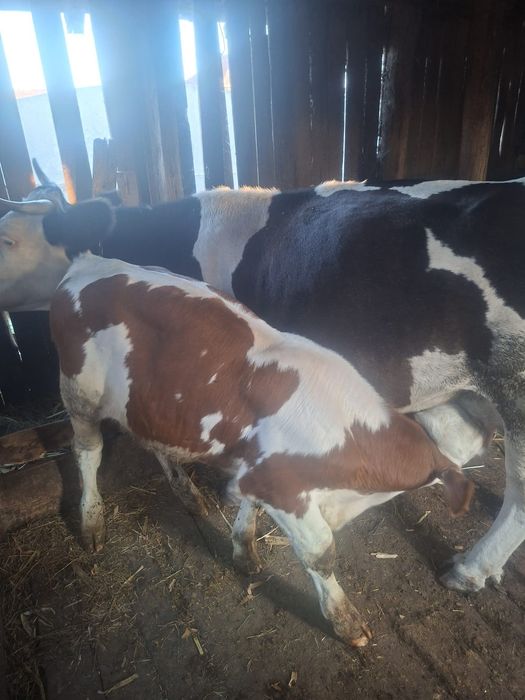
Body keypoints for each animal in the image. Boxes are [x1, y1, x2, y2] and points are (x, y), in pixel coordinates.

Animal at [50, 250, 474, 647]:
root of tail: (88, 262)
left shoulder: (256, 469)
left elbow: (249, 509)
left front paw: (243, 550)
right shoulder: (282, 488)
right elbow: (321, 552)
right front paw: (345, 619)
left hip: (150, 402)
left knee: (152, 442)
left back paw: (187, 493)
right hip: (79, 393)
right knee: (87, 451)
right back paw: (92, 520)